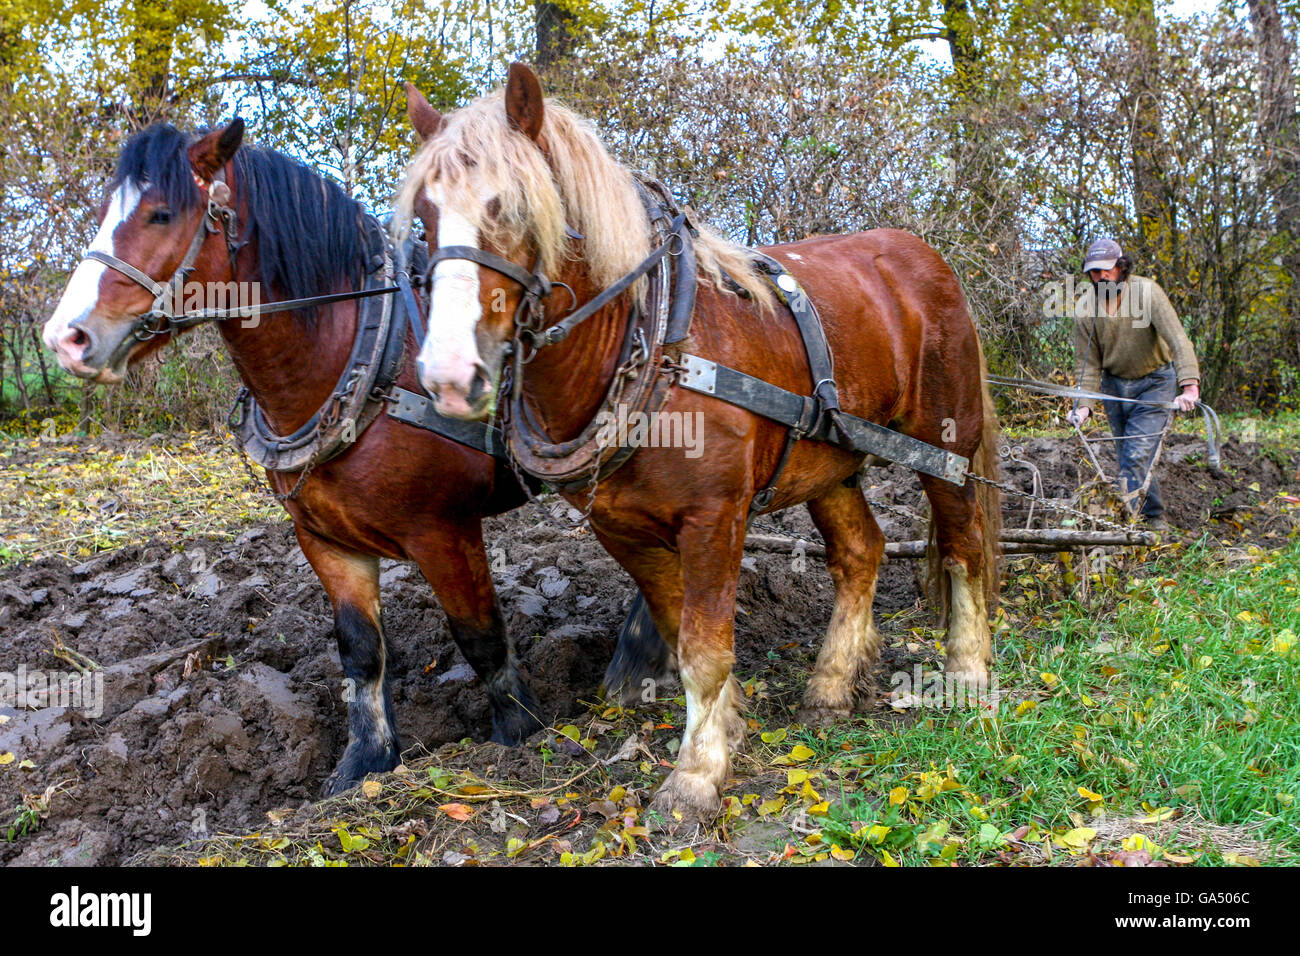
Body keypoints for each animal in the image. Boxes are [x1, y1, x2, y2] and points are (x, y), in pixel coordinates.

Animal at [39, 112, 663, 795]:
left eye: (160, 215)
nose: (66, 338)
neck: (362, 357)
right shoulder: (323, 538)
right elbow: (360, 650)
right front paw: (363, 763)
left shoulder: (443, 532)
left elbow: (481, 638)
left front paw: (519, 736)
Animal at [396, 64, 1002, 828]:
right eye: (424, 217)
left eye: (512, 208)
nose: (449, 376)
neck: (655, 341)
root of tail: (926, 256)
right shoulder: (621, 527)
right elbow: (678, 625)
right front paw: (728, 726)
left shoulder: (715, 519)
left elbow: (704, 649)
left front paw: (695, 776)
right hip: (829, 461)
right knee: (860, 553)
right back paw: (831, 685)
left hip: (946, 445)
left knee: (962, 547)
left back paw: (967, 674)